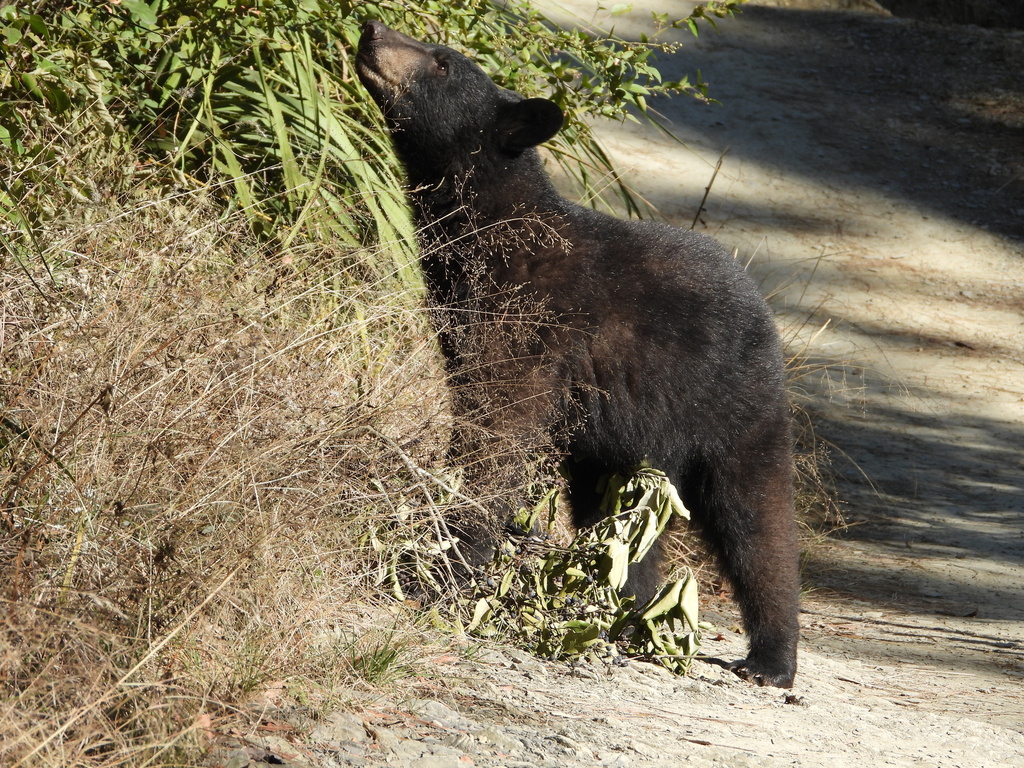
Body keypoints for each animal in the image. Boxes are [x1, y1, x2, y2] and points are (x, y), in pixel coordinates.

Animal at [356, 20, 800, 688]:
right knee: (623, 527)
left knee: (755, 520)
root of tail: (766, 315)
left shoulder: (526, 333)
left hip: (735, 408)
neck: (488, 238)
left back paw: (771, 658)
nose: (371, 29)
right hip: (619, 441)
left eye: (441, 62)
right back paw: (626, 617)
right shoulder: (465, 325)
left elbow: (497, 439)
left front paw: (442, 568)